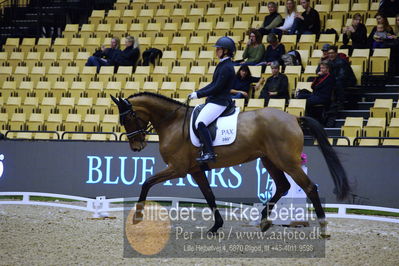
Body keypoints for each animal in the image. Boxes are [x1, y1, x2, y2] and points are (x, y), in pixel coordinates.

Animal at [110, 93, 350, 233]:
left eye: (127, 118)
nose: (136, 147)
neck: (172, 122)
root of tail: (293, 118)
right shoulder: (195, 170)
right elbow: (209, 196)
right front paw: (216, 226)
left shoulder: (177, 169)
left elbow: (147, 182)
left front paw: (137, 217)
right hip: (269, 160)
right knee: (283, 186)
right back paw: (264, 221)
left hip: (286, 161)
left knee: (309, 187)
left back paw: (323, 227)